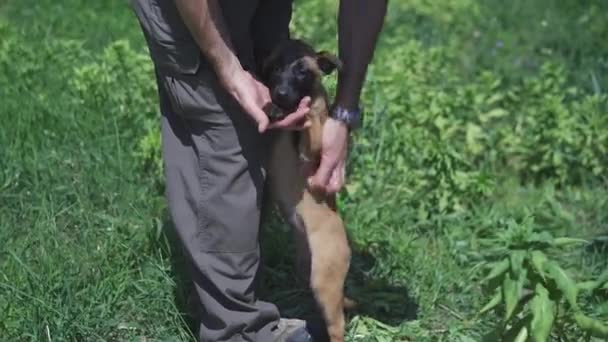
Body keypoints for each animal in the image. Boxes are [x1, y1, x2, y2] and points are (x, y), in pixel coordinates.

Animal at [260, 38, 354, 342]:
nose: (280, 94)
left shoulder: (312, 151)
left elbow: (311, 121)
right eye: (276, 68)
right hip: (308, 272)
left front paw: (303, 110)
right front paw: (273, 107)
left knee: (338, 325)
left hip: (325, 281)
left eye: (302, 71)